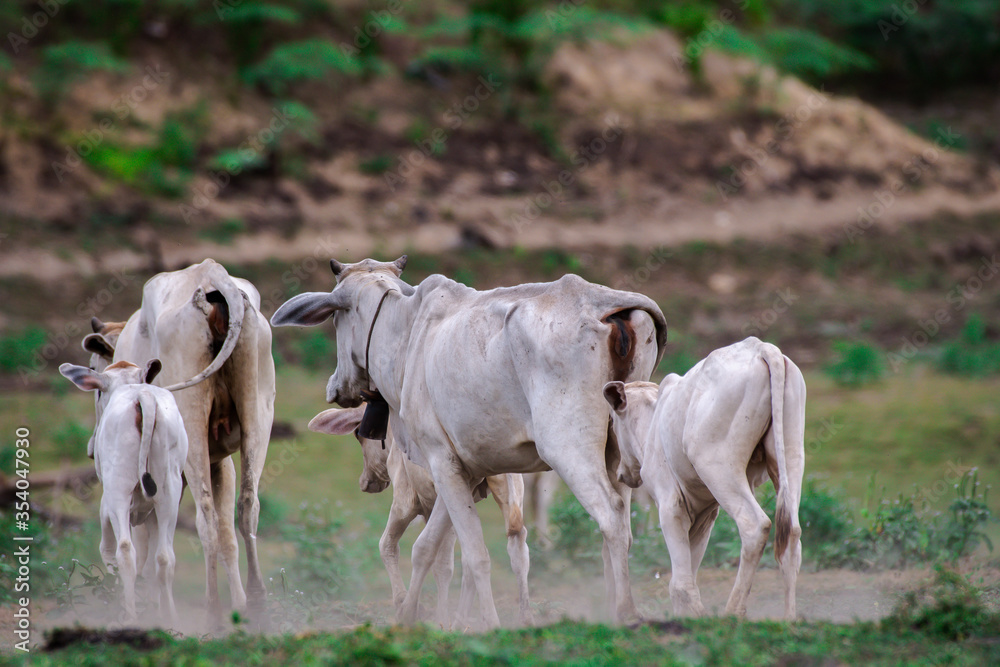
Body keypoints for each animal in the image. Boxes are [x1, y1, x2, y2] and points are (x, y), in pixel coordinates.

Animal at [59, 359, 188, 622]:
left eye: (99, 392)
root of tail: (143, 396)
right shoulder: (151, 513)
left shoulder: (106, 507)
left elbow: (108, 553)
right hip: (169, 494)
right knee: (165, 558)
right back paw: (170, 620)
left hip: (118, 491)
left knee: (126, 552)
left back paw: (129, 617)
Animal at [86, 259, 275, 622]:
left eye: (93, 373)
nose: (91, 448)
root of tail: (211, 274)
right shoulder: (221, 463)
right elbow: (229, 539)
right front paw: (240, 603)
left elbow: (144, 549)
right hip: (258, 410)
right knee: (247, 506)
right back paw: (258, 603)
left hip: (190, 414)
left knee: (206, 517)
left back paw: (213, 612)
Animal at [308, 406, 533, 627]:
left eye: (358, 434)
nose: (365, 482)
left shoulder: (405, 501)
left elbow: (389, 545)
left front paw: (404, 604)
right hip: (510, 487)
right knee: (514, 546)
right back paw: (520, 619)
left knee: (451, 557)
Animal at [602, 337, 805, 620]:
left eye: (612, 421)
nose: (622, 472)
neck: (654, 423)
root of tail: (762, 348)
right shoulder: (704, 514)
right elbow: (689, 569)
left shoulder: (671, 505)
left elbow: (680, 581)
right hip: (791, 457)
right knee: (791, 536)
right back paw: (789, 618)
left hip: (719, 469)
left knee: (755, 526)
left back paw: (733, 612)